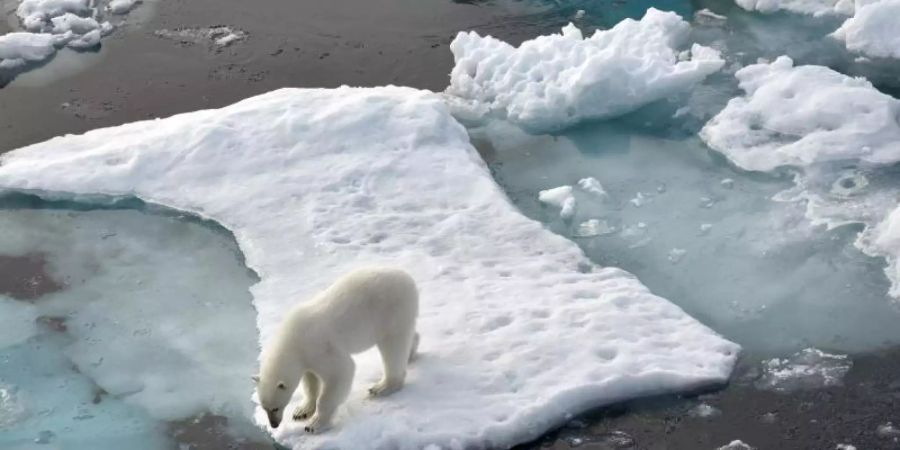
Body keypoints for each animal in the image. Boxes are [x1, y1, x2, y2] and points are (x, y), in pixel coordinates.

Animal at [255, 268, 420, 432]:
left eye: (275, 408)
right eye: (264, 408)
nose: (274, 425)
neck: (292, 339)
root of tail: (408, 279)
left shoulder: (319, 346)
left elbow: (340, 372)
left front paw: (315, 424)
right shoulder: (306, 357)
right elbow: (310, 380)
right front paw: (301, 411)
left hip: (391, 311)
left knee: (393, 347)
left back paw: (382, 387)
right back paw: (410, 353)